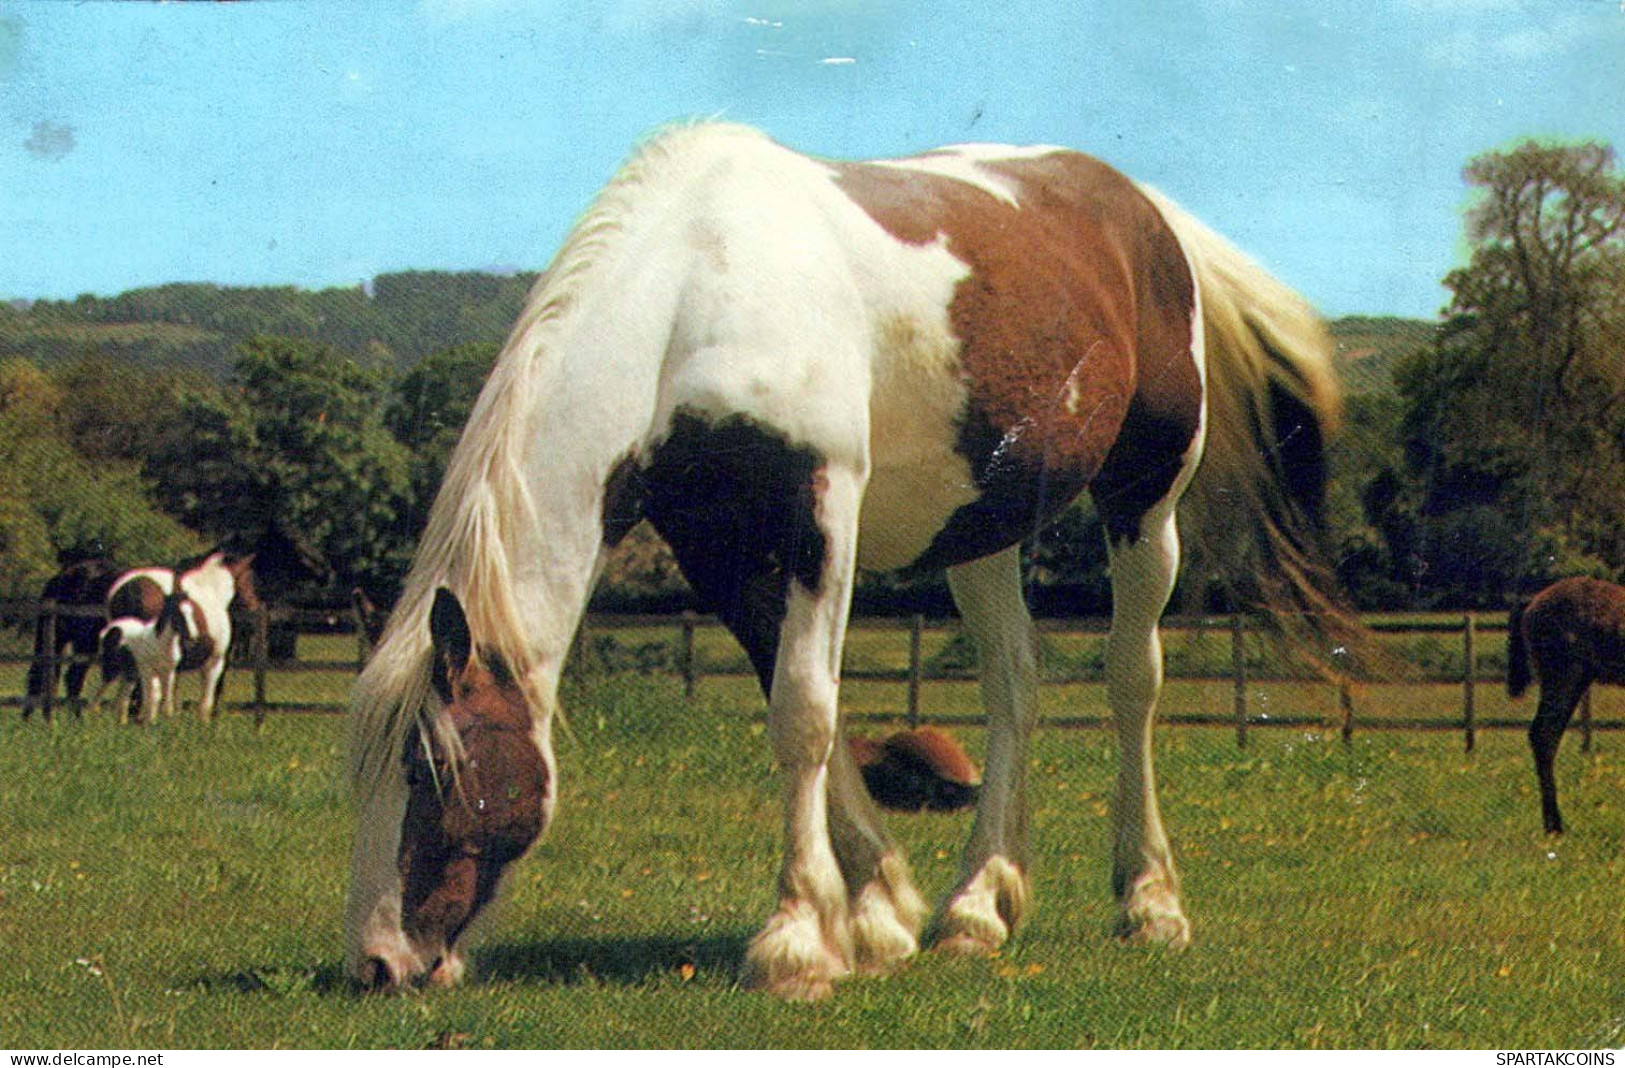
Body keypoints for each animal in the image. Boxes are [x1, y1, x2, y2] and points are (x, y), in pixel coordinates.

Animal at [349, 125, 1352, 1001]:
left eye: (432, 771)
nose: (378, 964)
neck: (697, 293)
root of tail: (1143, 209)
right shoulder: (719, 549)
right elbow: (805, 712)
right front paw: (878, 917)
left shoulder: (819, 510)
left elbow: (803, 715)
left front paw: (795, 944)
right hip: (982, 529)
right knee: (1013, 687)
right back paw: (977, 908)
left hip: (1143, 497)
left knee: (1130, 682)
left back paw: (1148, 904)